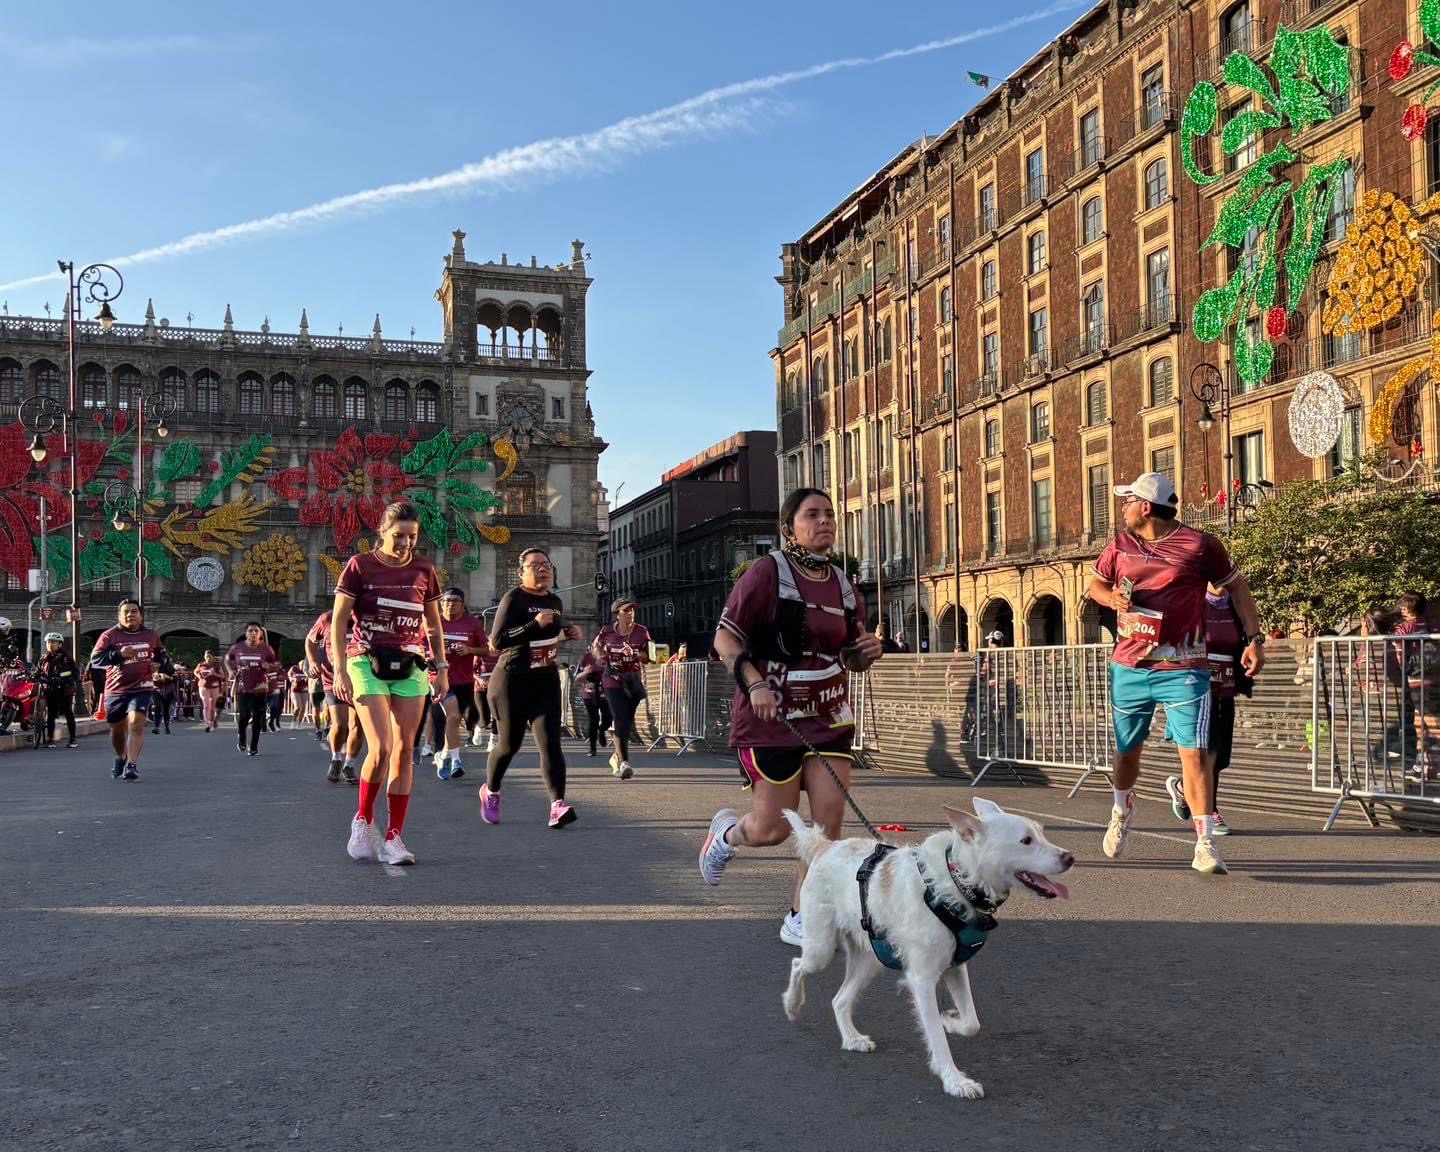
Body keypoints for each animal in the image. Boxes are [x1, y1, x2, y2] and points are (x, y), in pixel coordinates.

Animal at [777, 794, 1071, 1100]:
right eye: (1026, 841)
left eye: (1042, 833)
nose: (1070, 858)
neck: (958, 882)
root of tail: (826, 846)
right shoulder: (922, 979)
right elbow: (937, 1038)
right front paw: (955, 1081)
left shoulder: (955, 967)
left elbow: (971, 1023)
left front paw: (950, 1021)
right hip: (820, 949)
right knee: (798, 965)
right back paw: (792, 1005)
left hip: (869, 961)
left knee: (839, 1000)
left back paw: (852, 1039)